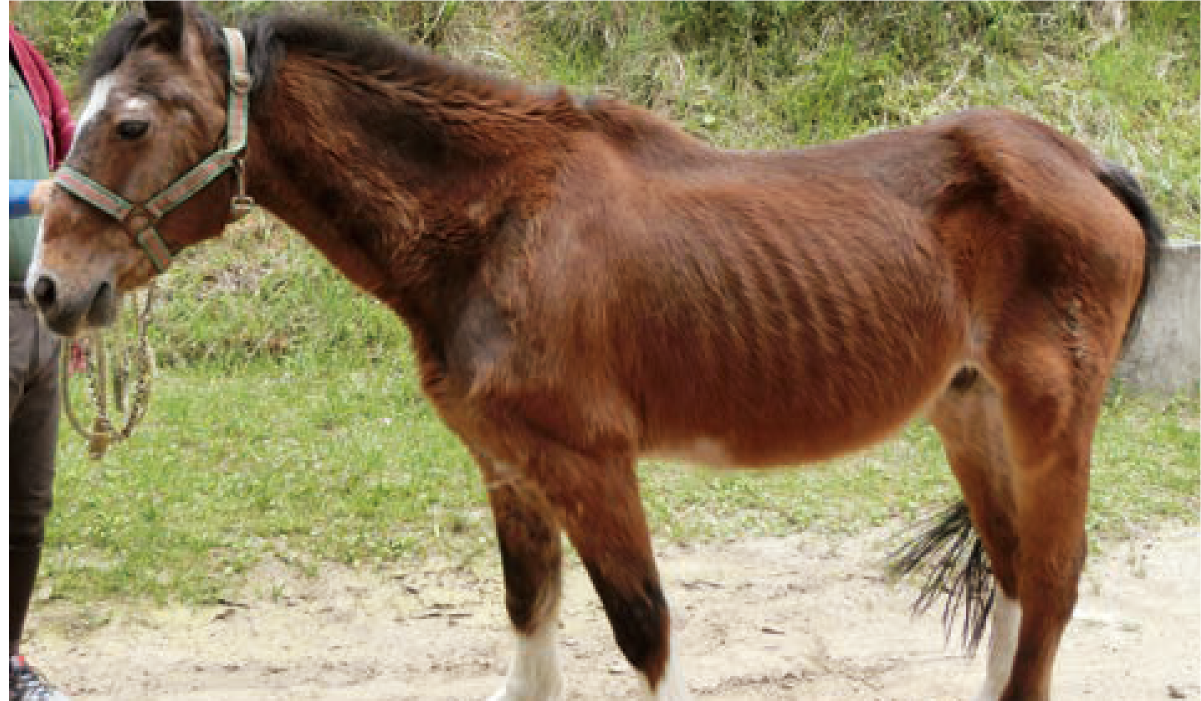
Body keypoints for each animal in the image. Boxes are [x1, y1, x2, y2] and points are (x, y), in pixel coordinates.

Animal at [28, 2, 1162, 696]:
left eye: (130, 124)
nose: (48, 286)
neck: (494, 224)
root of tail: (1084, 163)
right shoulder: (507, 466)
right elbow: (530, 624)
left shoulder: (589, 463)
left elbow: (642, 628)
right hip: (968, 410)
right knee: (1013, 577)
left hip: (1048, 416)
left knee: (1052, 582)